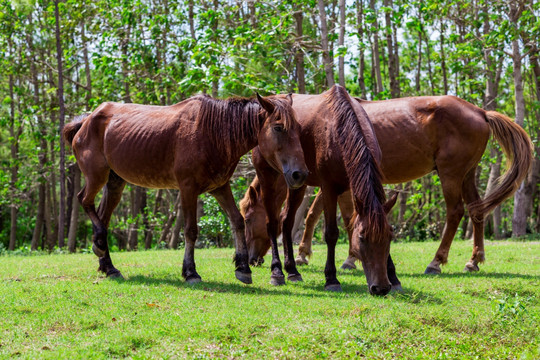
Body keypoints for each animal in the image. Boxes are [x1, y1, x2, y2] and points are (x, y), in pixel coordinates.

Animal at [62, 93, 308, 284]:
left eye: (298, 129)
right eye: (278, 127)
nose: (300, 174)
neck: (213, 131)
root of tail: (86, 120)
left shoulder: (220, 187)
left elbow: (237, 221)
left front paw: (242, 268)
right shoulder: (188, 188)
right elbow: (190, 230)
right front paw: (190, 272)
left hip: (115, 183)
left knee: (102, 217)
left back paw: (108, 265)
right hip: (97, 176)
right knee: (84, 200)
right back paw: (100, 245)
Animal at [239, 95, 532, 276]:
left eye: (248, 217)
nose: (252, 258)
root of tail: (480, 112)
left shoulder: (331, 182)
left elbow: (324, 216)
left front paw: (330, 256)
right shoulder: (335, 183)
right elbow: (327, 215)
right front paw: (338, 255)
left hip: (451, 174)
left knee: (455, 212)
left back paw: (436, 262)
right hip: (466, 174)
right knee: (476, 210)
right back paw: (473, 261)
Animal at [249, 86, 396, 296]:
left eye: (390, 238)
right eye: (362, 238)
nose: (381, 287)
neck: (340, 130)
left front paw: (394, 277)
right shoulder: (329, 189)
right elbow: (331, 233)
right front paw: (331, 278)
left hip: (297, 182)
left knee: (286, 221)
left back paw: (292, 270)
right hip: (267, 175)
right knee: (272, 223)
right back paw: (277, 272)